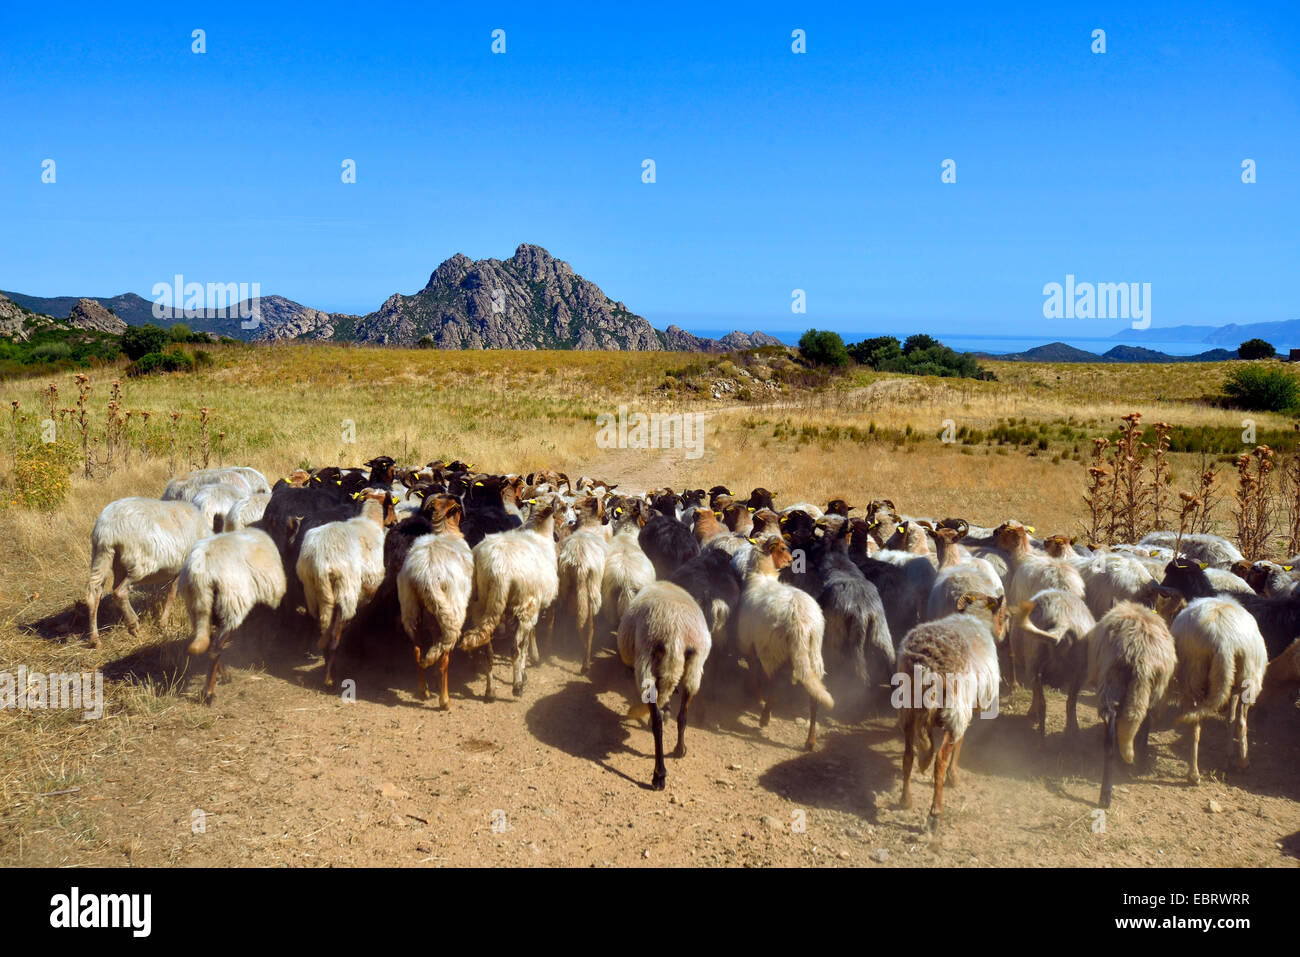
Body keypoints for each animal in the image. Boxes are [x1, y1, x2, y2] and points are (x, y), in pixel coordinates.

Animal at [180, 522, 284, 702]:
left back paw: (223, 676)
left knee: (211, 641)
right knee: (216, 647)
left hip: (196, 606)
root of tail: (201, 574)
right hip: (232, 605)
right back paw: (208, 692)